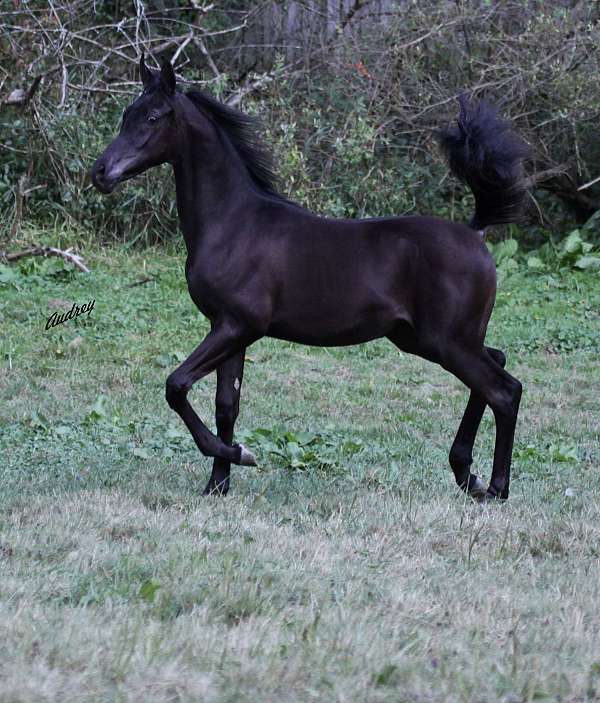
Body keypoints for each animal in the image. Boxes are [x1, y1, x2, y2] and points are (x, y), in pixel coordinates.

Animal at [91, 57, 528, 504]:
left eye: (153, 117)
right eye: (126, 115)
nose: (100, 173)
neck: (233, 223)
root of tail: (475, 233)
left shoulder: (239, 325)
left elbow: (176, 385)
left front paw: (241, 455)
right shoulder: (228, 329)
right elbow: (226, 405)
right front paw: (218, 483)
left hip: (447, 342)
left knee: (504, 390)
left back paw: (496, 486)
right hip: (427, 339)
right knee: (496, 363)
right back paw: (467, 475)